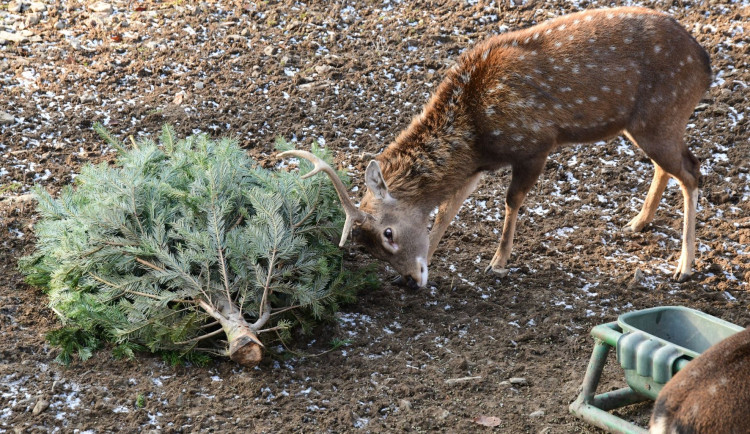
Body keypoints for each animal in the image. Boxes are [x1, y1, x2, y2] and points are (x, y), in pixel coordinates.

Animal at [280, 6, 712, 288]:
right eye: (367, 248)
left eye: (387, 233)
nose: (411, 280)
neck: (476, 134)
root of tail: (704, 62)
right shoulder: (476, 167)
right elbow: (447, 210)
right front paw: (435, 257)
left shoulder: (536, 143)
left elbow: (511, 201)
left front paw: (497, 263)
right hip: (644, 125)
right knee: (668, 167)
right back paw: (638, 222)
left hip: (664, 114)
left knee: (693, 171)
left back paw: (685, 265)